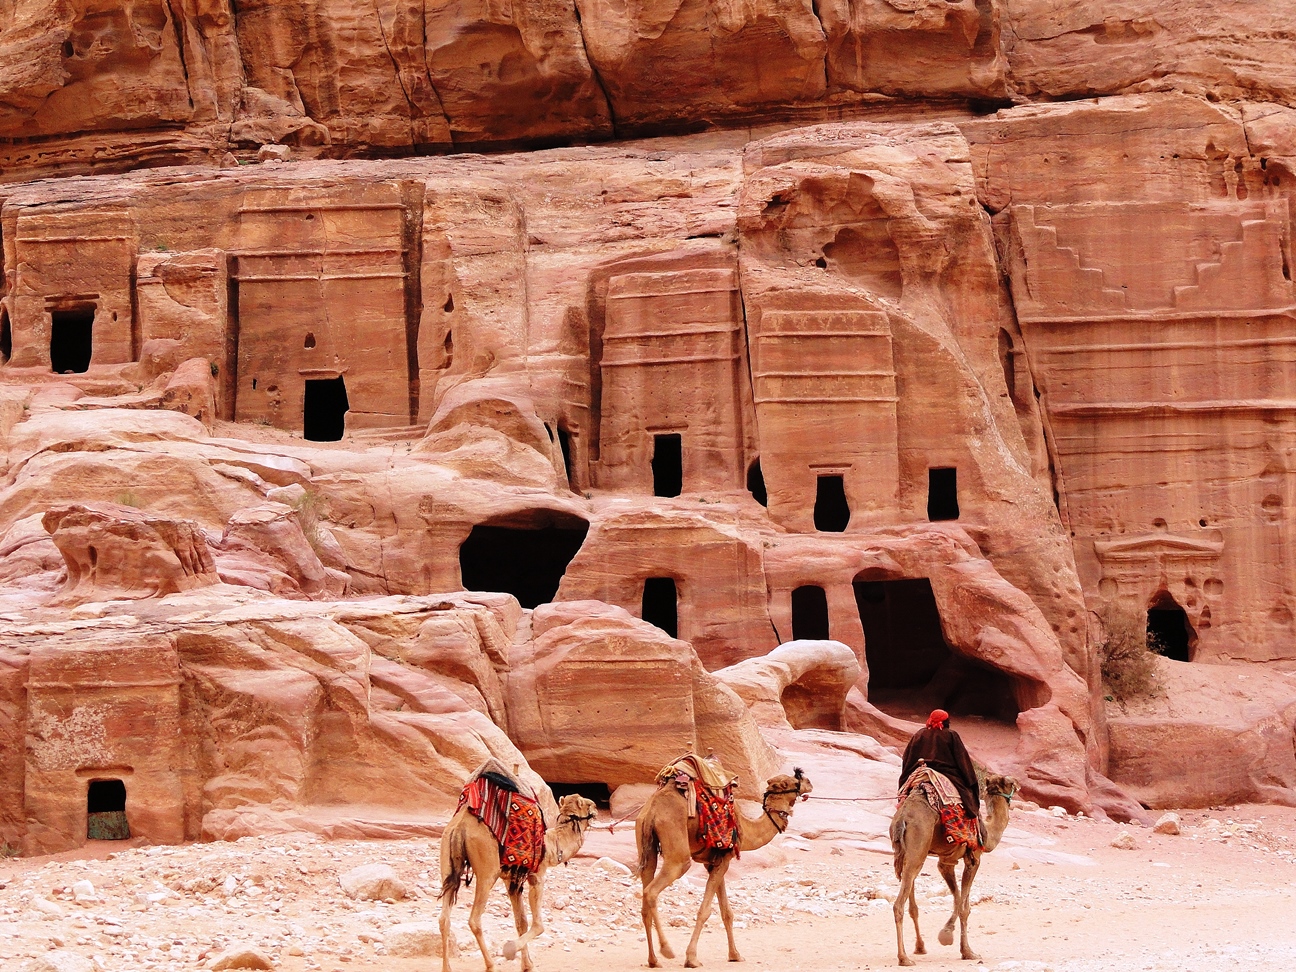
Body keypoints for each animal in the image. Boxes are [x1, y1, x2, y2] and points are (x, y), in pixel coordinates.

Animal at [435, 793, 596, 972]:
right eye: (590, 804)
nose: (596, 810)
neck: (553, 845)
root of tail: (460, 826)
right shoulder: (537, 876)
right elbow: (538, 925)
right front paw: (510, 949)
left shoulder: (511, 879)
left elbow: (521, 922)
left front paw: (527, 965)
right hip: (487, 870)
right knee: (474, 919)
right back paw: (491, 966)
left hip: (446, 857)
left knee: (444, 919)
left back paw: (447, 968)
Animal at [635, 772, 808, 969]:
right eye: (794, 781)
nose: (809, 783)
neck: (745, 826)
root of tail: (652, 810)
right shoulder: (725, 858)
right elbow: (705, 911)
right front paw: (692, 959)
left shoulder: (714, 862)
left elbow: (727, 912)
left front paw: (735, 955)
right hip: (677, 850)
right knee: (652, 891)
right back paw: (667, 950)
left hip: (645, 843)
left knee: (645, 895)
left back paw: (653, 960)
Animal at [886, 772, 1016, 969]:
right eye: (1011, 782)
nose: (1019, 787)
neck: (988, 832)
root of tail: (902, 818)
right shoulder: (973, 859)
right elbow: (964, 907)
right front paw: (963, 948)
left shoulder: (945, 862)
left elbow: (956, 899)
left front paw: (942, 938)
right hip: (918, 847)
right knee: (898, 904)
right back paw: (904, 958)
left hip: (907, 854)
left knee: (910, 899)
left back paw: (917, 948)